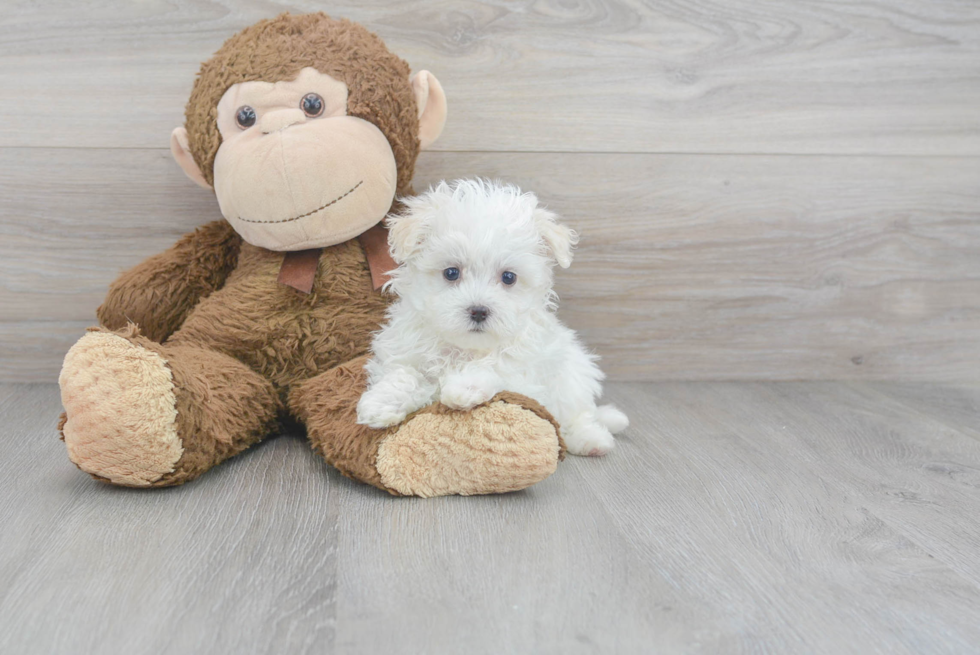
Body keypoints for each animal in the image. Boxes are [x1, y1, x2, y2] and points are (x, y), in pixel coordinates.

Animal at [358, 178, 628, 456]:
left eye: (509, 277)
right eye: (451, 272)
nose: (478, 310)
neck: (466, 349)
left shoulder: (526, 371)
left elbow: (497, 366)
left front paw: (465, 387)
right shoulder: (404, 351)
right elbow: (405, 375)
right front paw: (382, 403)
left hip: (574, 374)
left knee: (578, 413)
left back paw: (591, 439)